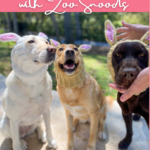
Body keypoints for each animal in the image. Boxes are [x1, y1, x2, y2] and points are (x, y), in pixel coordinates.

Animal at [105, 19, 148, 149]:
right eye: (118, 54)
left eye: (142, 54)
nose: (129, 73)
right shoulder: (125, 111)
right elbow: (129, 130)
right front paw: (126, 142)